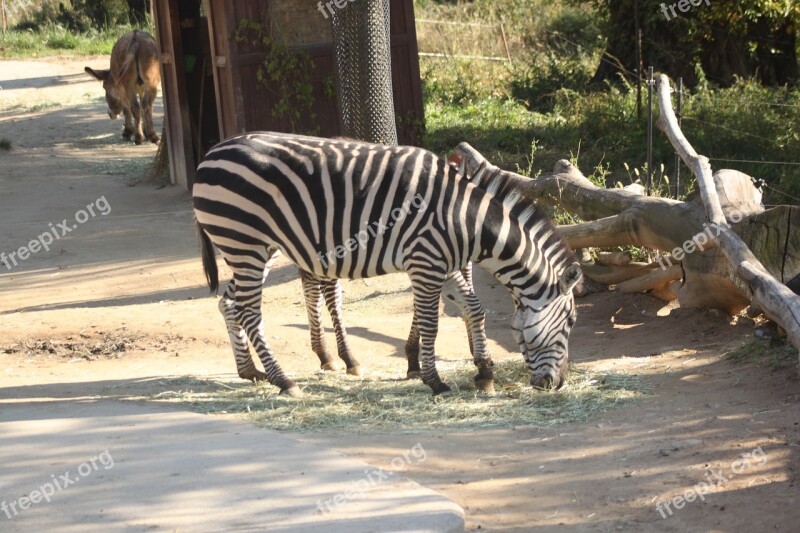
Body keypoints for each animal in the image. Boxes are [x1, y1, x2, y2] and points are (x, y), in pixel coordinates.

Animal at [194, 130, 580, 394]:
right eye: (571, 322)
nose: (557, 384)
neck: (464, 219)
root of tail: (210, 153)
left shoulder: (444, 263)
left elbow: (474, 308)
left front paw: (484, 372)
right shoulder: (426, 262)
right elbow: (431, 323)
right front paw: (434, 380)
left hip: (255, 247)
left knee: (229, 302)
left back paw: (250, 371)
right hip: (244, 241)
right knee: (249, 311)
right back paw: (283, 380)